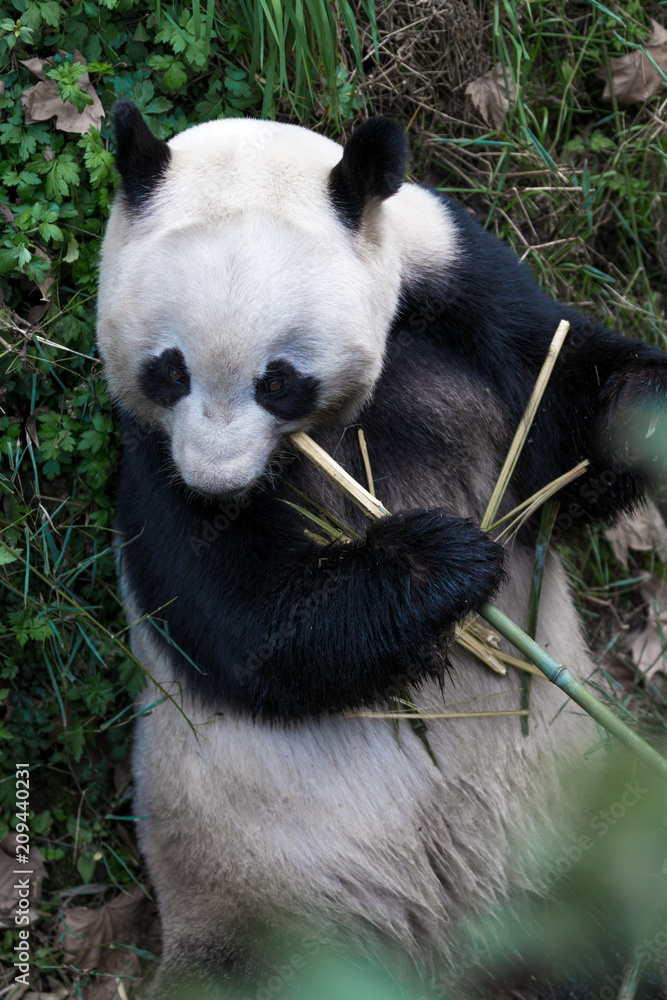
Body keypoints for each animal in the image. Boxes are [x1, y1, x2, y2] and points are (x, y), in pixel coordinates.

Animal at [95, 99, 667, 992]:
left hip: (588, 820)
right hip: (267, 911)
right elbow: (246, 621)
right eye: (168, 370)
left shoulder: (457, 291)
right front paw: (443, 563)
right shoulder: (150, 461)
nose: (218, 483)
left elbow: (567, 419)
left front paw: (648, 412)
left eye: (278, 379)